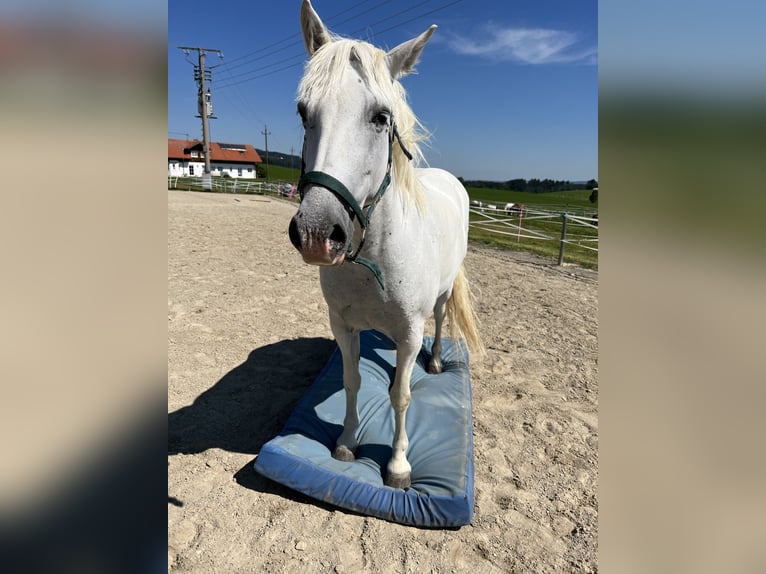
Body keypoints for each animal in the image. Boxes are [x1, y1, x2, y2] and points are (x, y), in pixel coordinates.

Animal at [292, 0, 484, 490]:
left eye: (381, 117)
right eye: (303, 111)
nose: (317, 234)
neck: (375, 258)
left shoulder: (410, 331)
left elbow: (400, 397)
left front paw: (398, 465)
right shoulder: (343, 326)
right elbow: (353, 380)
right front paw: (346, 441)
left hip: (440, 297)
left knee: (439, 322)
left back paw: (433, 364)